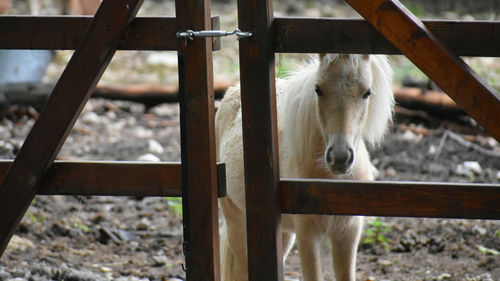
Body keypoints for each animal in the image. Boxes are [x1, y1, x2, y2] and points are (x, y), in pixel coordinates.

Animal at [215, 54, 394, 280]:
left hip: (283, 235)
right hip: (237, 221)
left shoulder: (348, 233)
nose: (340, 158)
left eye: (367, 92)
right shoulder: (308, 235)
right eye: (318, 89)